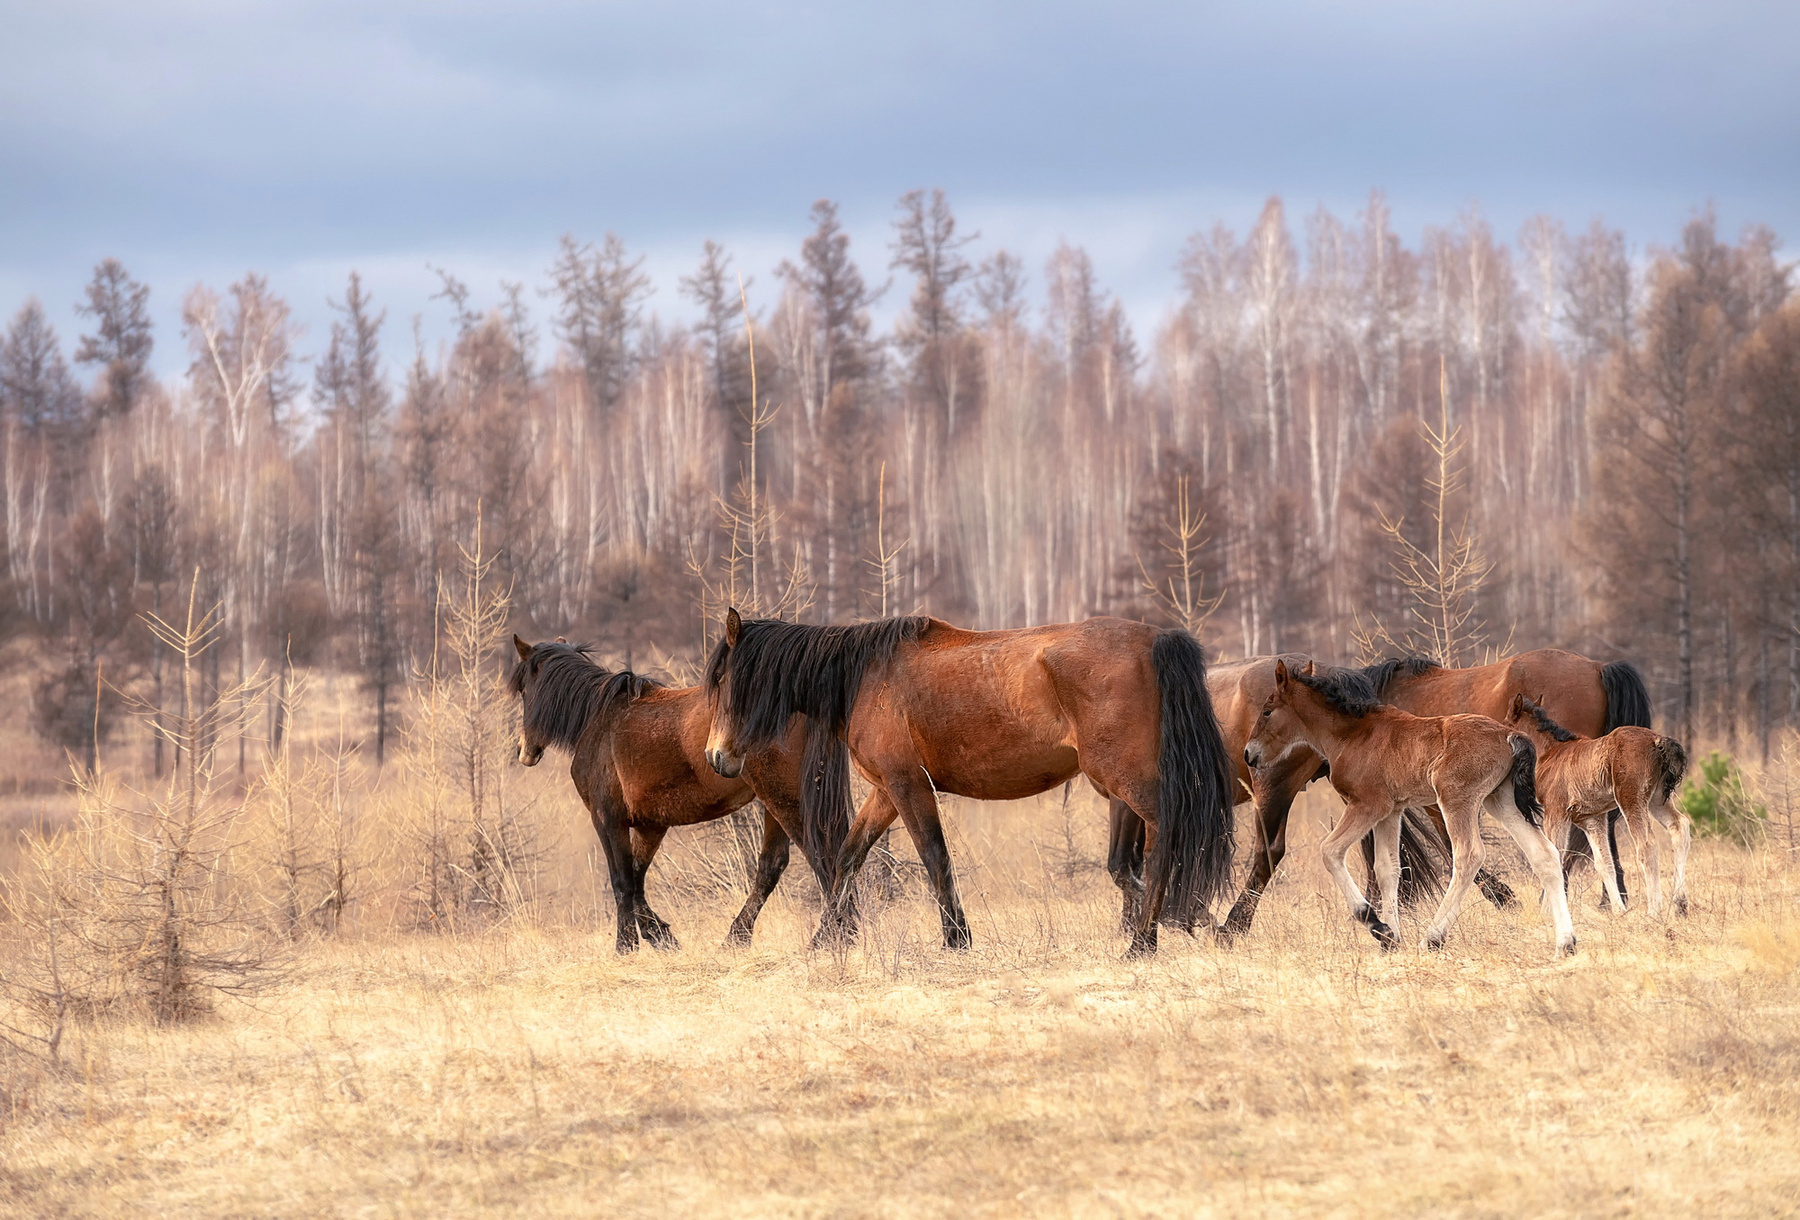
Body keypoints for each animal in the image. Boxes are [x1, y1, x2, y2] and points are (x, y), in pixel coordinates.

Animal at [509, 636, 829, 953]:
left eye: (524, 690)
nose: (523, 750)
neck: (598, 720)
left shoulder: (607, 819)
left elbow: (622, 881)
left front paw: (626, 946)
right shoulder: (651, 825)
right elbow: (636, 879)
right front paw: (660, 936)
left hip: (784, 800)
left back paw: (825, 938)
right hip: (774, 804)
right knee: (772, 865)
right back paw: (738, 937)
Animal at [703, 609, 1236, 956]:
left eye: (724, 679)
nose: (716, 757)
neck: (865, 677)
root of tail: (1157, 639)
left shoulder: (908, 786)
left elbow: (935, 858)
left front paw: (956, 939)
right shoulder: (885, 791)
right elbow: (848, 857)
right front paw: (825, 938)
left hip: (1128, 781)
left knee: (1169, 840)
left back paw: (1145, 941)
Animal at [1244, 659, 1577, 957]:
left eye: (1267, 711)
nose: (1249, 754)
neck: (1352, 734)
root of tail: (1509, 735)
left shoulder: (1367, 805)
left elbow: (1330, 851)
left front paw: (1376, 924)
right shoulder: (1391, 811)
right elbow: (1387, 868)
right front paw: (1391, 939)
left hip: (1456, 799)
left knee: (1468, 855)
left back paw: (1433, 938)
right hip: (1501, 799)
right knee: (1544, 854)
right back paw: (1566, 943)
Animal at [1504, 695, 1692, 917]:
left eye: (1506, 723)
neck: (1550, 752)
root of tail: (1657, 740)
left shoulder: (1555, 812)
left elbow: (1554, 854)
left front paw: (1546, 912)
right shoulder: (1592, 819)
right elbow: (1604, 863)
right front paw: (1619, 911)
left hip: (1631, 800)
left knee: (1647, 846)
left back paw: (1654, 911)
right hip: (1657, 799)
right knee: (1679, 825)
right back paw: (1680, 904)